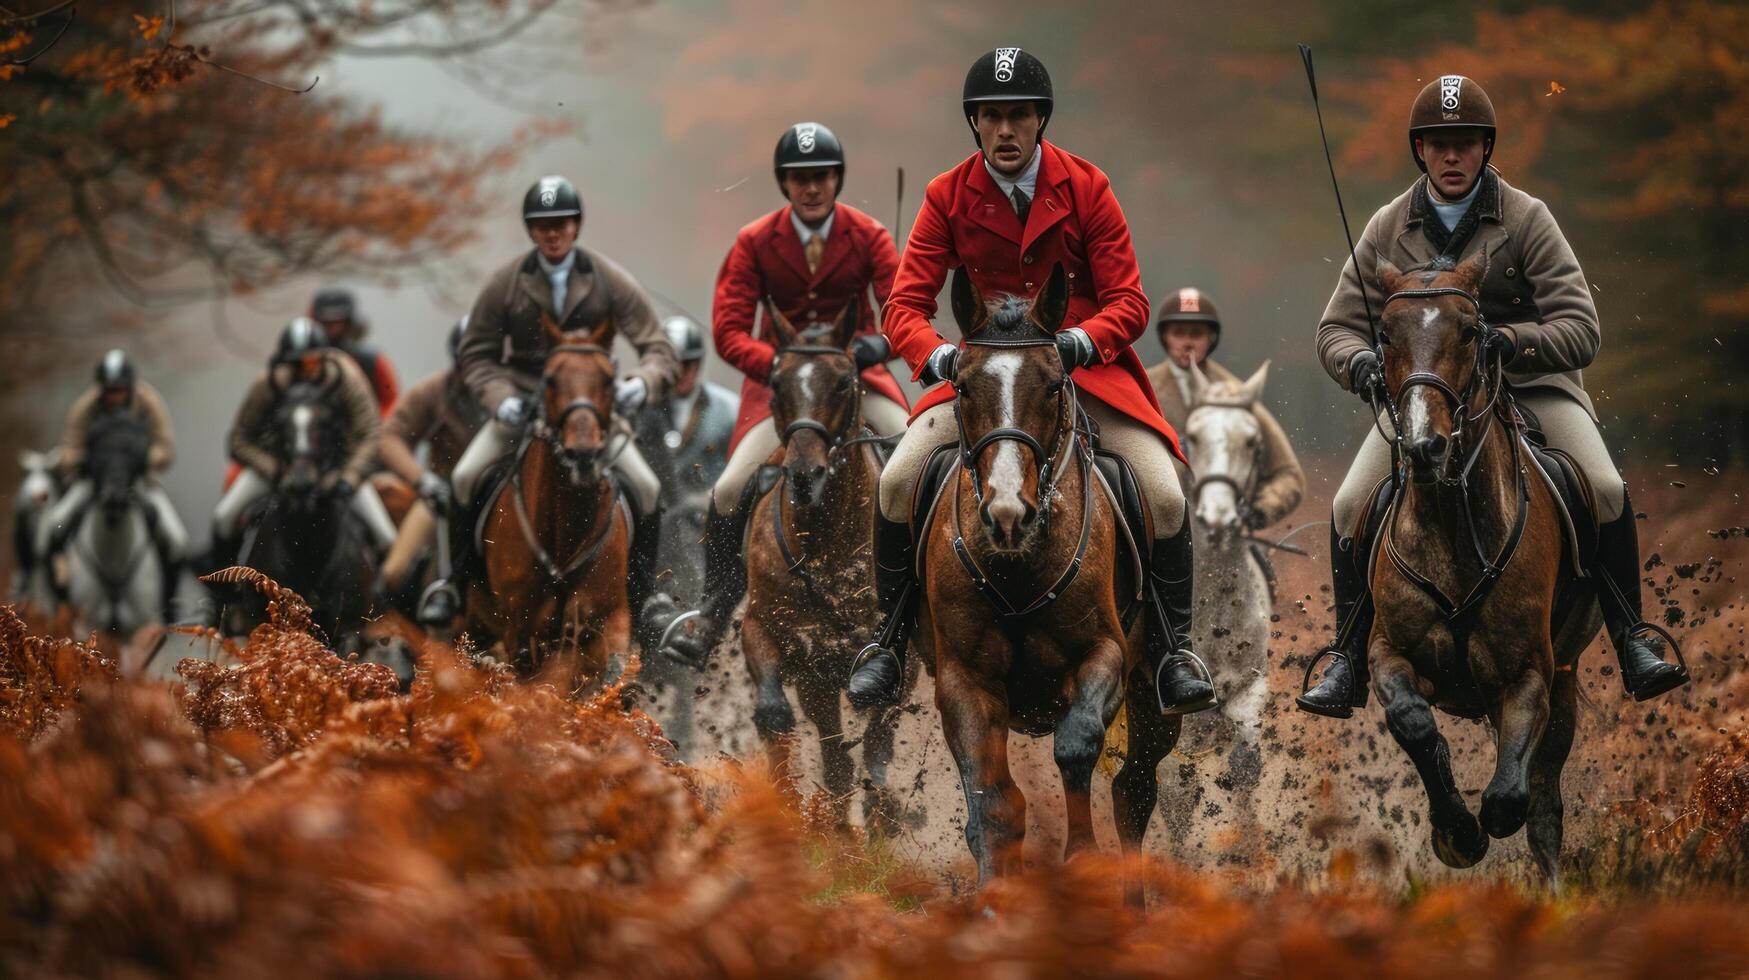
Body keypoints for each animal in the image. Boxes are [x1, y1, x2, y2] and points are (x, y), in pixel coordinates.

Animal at [461, 318, 633, 693]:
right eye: (551, 379)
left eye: (608, 380)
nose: (582, 453)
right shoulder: (520, 630)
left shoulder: (611, 613)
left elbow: (616, 668)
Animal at [741, 302, 902, 822]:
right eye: (776, 383)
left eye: (843, 382)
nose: (804, 475)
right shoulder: (774, 635)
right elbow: (775, 713)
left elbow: (877, 738)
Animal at [916, 267, 1175, 889]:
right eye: (961, 386)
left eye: (1056, 384)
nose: (1008, 514)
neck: (1018, 565)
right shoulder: (964, 680)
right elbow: (994, 803)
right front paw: (994, 893)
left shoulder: (1103, 654)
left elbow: (1076, 746)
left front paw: (1082, 862)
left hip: (1155, 697)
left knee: (1133, 792)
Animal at [1364, 253, 1602, 882]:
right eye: (1384, 334)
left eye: (1472, 331)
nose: (1425, 448)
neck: (1452, 522)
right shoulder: (1389, 652)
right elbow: (1415, 723)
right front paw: (1456, 832)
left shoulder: (1529, 676)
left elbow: (1511, 796)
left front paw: (1482, 820)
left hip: (1564, 682)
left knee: (1543, 805)